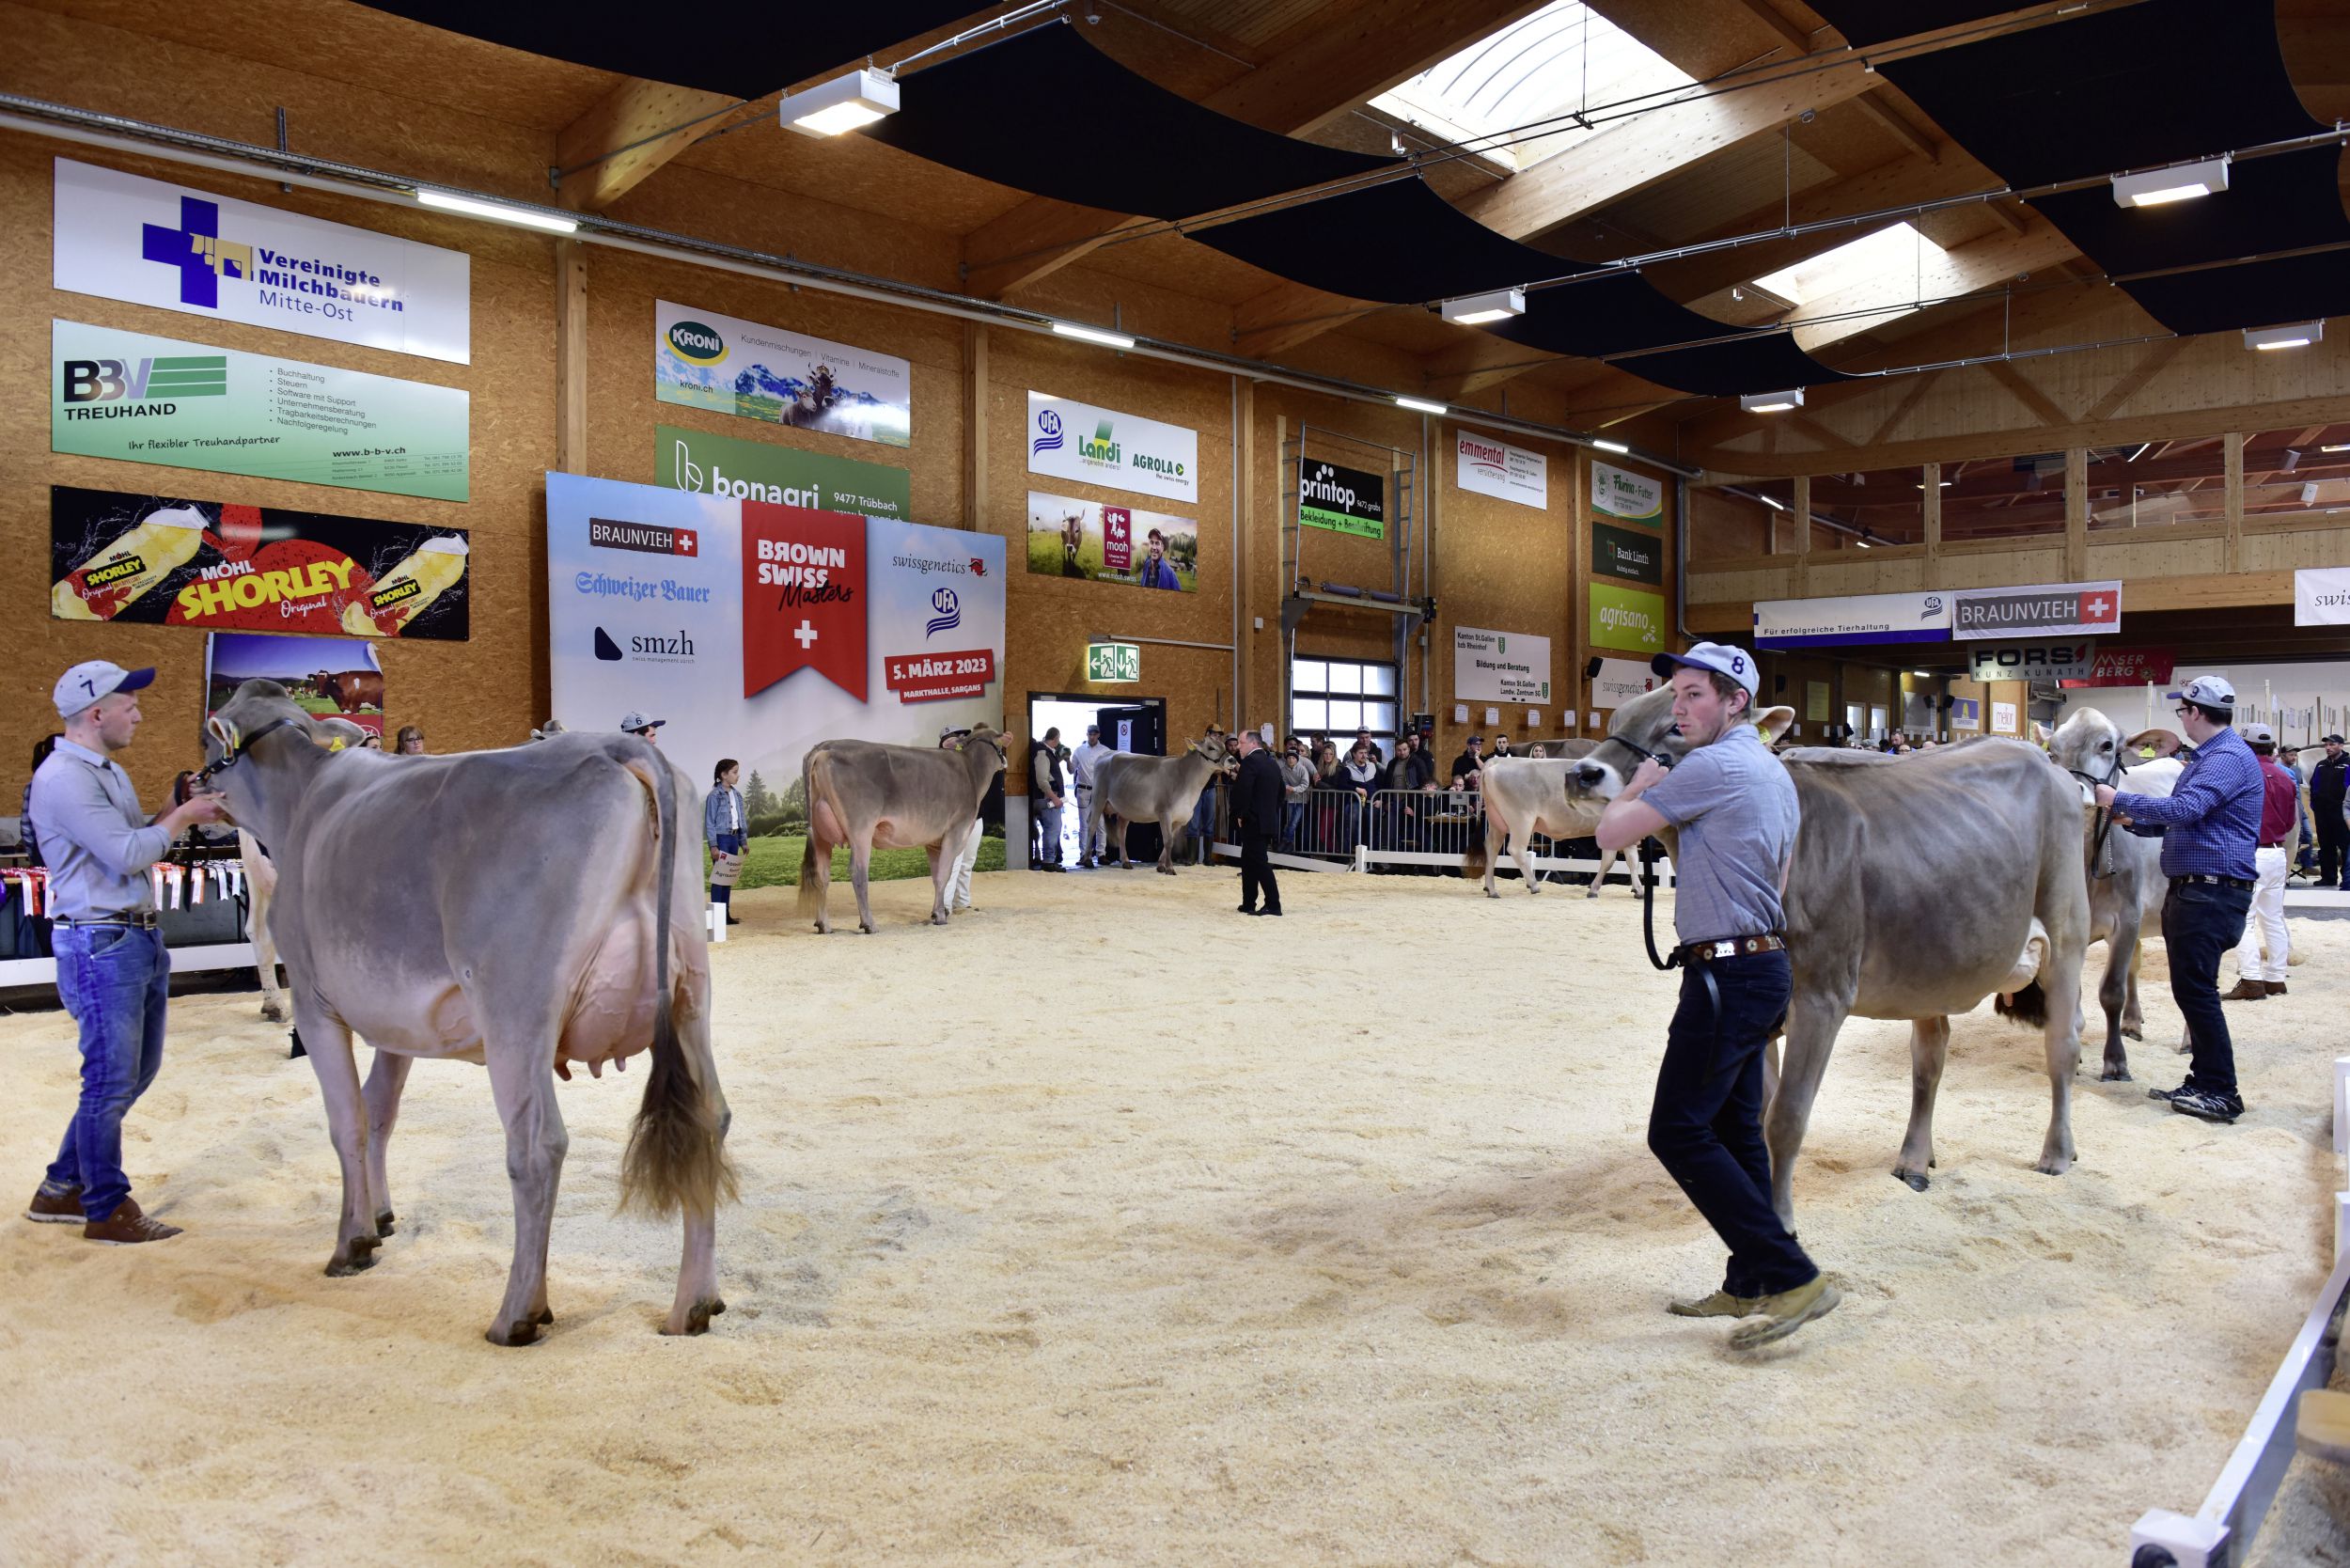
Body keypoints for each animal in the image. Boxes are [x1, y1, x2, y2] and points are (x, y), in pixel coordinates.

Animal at [200, 680, 733, 1345]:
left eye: (209, 740)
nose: (188, 787)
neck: (302, 799)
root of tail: (618, 747)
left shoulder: (316, 1001)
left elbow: (347, 1121)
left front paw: (352, 1242)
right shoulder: (395, 1022)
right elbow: (380, 1113)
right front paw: (381, 1215)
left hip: (515, 1010)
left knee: (537, 1144)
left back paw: (518, 1314)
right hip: (690, 995)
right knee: (708, 1120)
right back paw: (693, 1305)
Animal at [797, 726, 1008, 934]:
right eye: (999, 744)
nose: (1005, 761)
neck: (971, 771)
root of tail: (825, 746)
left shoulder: (934, 842)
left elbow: (936, 876)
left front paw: (935, 913)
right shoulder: (956, 831)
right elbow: (944, 875)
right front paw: (940, 916)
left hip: (820, 832)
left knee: (821, 875)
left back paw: (824, 925)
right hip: (860, 829)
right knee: (858, 872)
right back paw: (869, 924)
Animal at [1085, 734, 1231, 874]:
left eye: (1224, 746)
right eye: (1211, 748)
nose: (1232, 760)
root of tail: (1106, 754)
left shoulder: (1181, 818)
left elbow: (1170, 841)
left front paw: (1161, 866)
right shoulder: (1164, 813)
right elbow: (1168, 841)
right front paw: (1170, 868)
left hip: (1125, 809)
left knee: (1121, 831)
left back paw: (1126, 861)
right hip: (1098, 799)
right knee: (1091, 826)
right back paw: (1087, 860)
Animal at [1570, 685, 2090, 1228]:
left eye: (1676, 725)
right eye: (1618, 719)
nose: (1581, 773)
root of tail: (2046, 761)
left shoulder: (1822, 997)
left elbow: (1787, 1117)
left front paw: (1781, 1218)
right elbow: (1761, 1114)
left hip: (2066, 935)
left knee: (2062, 1044)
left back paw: (2057, 1153)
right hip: (1932, 960)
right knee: (1929, 1057)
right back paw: (1914, 1159)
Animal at [2040, 710, 2186, 1081]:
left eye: (2107, 745)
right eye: (2052, 750)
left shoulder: (2126, 920)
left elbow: (2111, 992)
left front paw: (2115, 1062)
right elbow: (2072, 995)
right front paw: (2074, 1054)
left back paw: (2188, 1041)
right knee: (2137, 962)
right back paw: (2132, 1023)